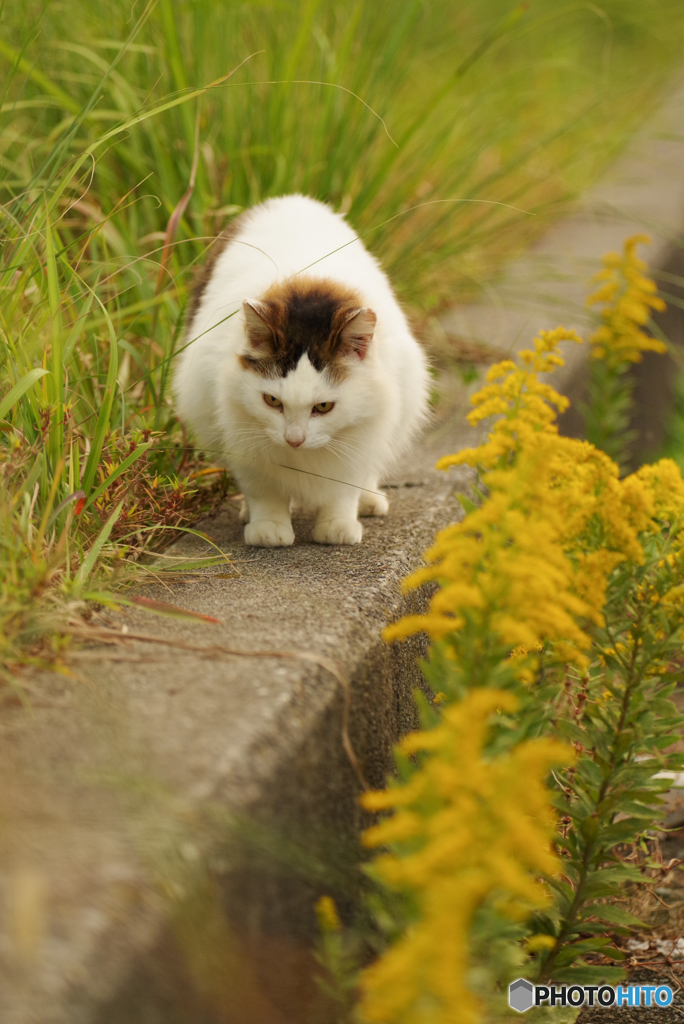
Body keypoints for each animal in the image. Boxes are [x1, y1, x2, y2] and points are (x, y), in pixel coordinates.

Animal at [174, 192, 428, 544]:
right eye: (272, 401)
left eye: (323, 406)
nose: (294, 440)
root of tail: (291, 199)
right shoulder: (243, 438)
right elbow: (263, 492)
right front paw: (268, 528)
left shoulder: (358, 441)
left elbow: (343, 491)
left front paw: (337, 527)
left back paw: (369, 500)